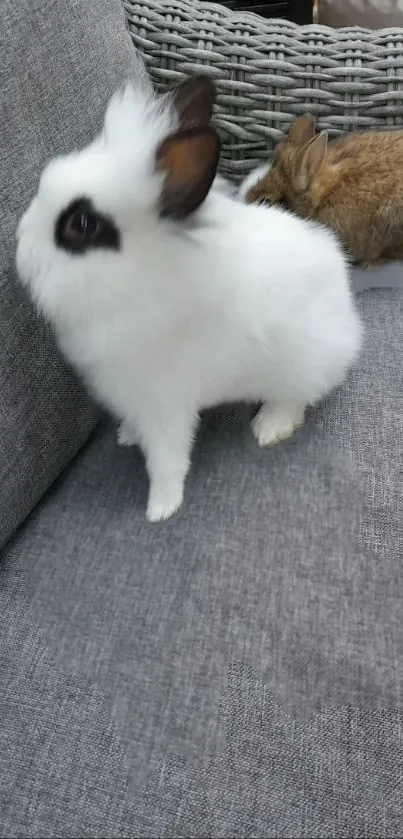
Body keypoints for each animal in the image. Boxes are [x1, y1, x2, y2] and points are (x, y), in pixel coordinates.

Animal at [16, 75, 362, 520]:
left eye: (82, 224)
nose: (20, 249)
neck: (139, 279)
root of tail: (348, 316)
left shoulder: (165, 404)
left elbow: (166, 458)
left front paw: (161, 507)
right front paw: (128, 435)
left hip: (298, 365)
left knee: (299, 398)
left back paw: (268, 427)